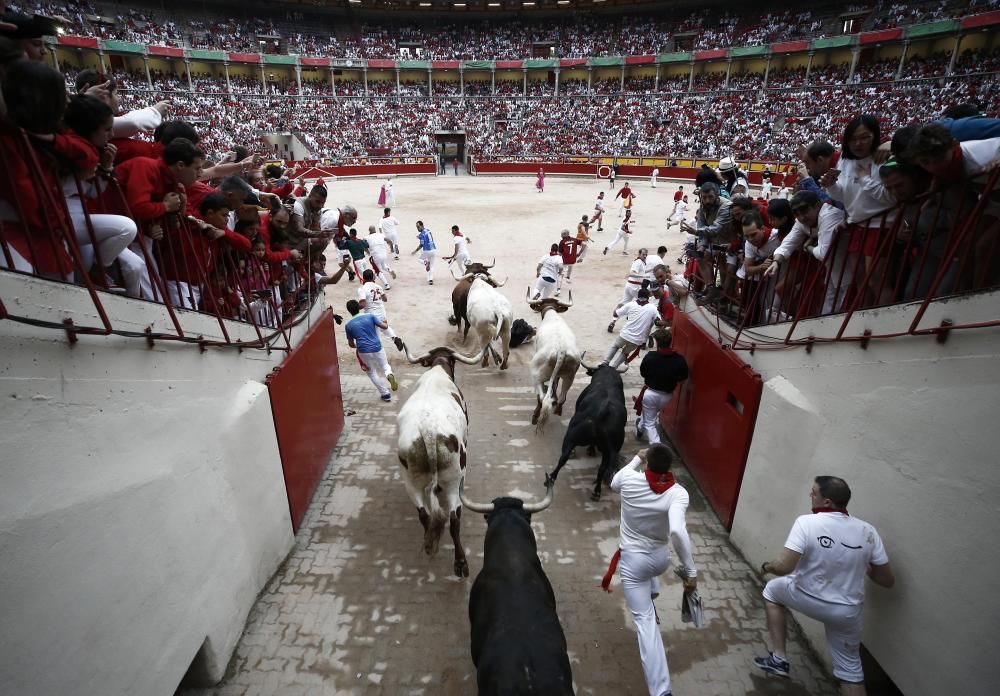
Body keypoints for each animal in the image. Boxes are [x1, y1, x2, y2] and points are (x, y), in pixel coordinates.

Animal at [398, 342, 492, 576]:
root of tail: (429, 432)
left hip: (411, 481)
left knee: (425, 515)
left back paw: (430, 544)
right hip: (453, 482)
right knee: (454, 519)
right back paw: (460, 563)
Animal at [528, 286, 584, 430]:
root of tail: (561, 351)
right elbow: (555, 383)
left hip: (536, 374)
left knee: (541, 397)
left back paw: (535, 417)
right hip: (570, 375)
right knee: (562, 397)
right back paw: (557, 409)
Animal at [548, 358, 624, 500]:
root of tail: (603, 411)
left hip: (572, 436)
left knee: (564, 458)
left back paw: (551, 478)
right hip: (607, 449)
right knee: (601, 469)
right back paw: (596, 492)